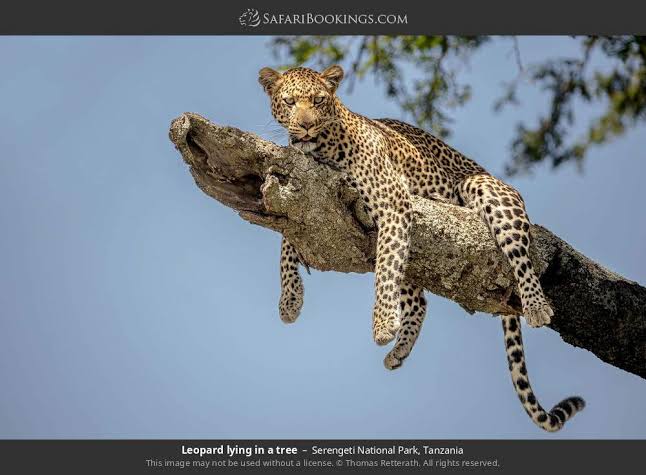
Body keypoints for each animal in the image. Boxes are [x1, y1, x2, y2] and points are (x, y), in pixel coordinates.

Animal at [259, 64, 585, 432]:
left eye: (317, 101)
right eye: (289, 102)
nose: (304, 125)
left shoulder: (393, 202)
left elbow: (384, 272)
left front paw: (382, 324)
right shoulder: (301, 190)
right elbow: (287, 238)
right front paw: (289, 300)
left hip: (488, 192)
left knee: (521, 256)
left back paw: (536, 304)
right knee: (420, 299)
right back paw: (400, 349)